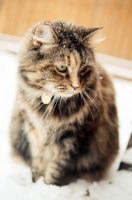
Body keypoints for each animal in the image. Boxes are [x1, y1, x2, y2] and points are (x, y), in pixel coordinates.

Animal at [9, 20, 118, 186]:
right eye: (62, 68)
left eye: (83, 69)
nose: (76, 86)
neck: (49, 104)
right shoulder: (33, 129)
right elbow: (38, 161)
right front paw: (37, 183)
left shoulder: (73, 135)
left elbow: (56, 168)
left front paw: (48, 186)